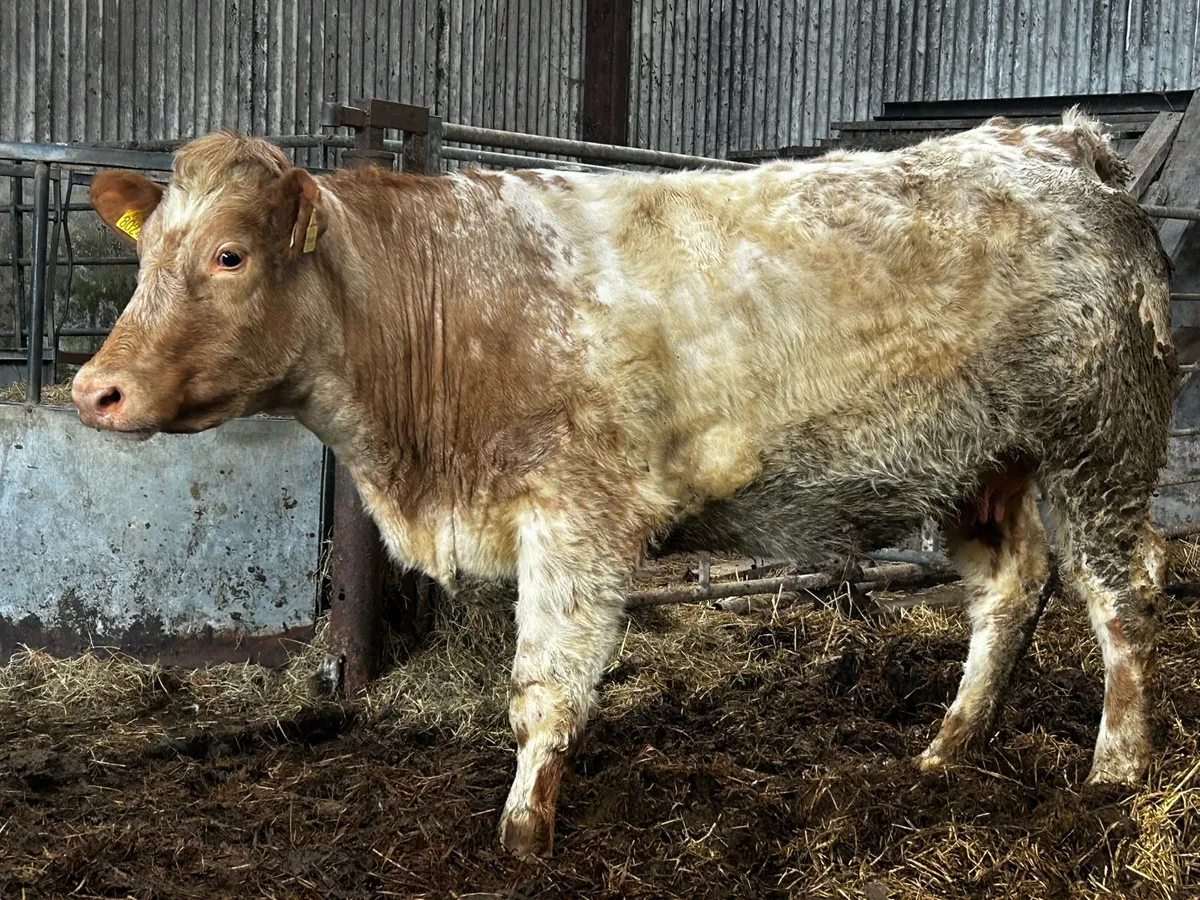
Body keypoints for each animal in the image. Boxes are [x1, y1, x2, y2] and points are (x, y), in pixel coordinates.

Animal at [72, 110, 1176, 859]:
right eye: (148, 252)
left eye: (230, 255)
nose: (94, 390)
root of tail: (1061, 143)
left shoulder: (577, 518)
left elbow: (543, 691)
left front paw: (523, 834)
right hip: (981, 461)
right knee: (1012, 586)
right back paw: (949, 746)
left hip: (1099, 441)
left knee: (1122, 590)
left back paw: (1118, 765)